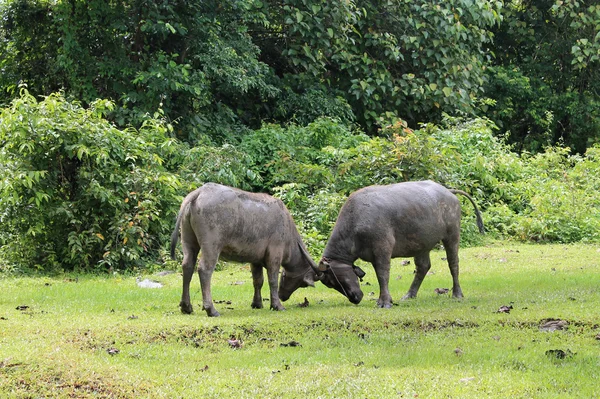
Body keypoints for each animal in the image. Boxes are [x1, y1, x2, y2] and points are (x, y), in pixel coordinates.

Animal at [169, 183, 318, 318]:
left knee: (187, 266)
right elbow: (272, 280)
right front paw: (277, 305)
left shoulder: (255, 260)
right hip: (211, 246)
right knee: (204, 270)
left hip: (188, 241)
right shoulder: (274, 255)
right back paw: (211, 309)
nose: (283, 296)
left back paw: (186, 307)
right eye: (302, 283)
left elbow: (258, 281)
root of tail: (200, 192)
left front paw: (257, 304)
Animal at [314, 181, 482, 310]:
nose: (355, 298)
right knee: (423, 266)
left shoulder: (382, 249)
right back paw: (409, 295)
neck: (356, 221)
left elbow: (383, 274)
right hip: (421, 244)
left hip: (452, 235)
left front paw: (384, 302)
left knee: (453, 263)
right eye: (329, 284)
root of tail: (448, 191)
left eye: (334, 280)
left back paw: (457, 294)